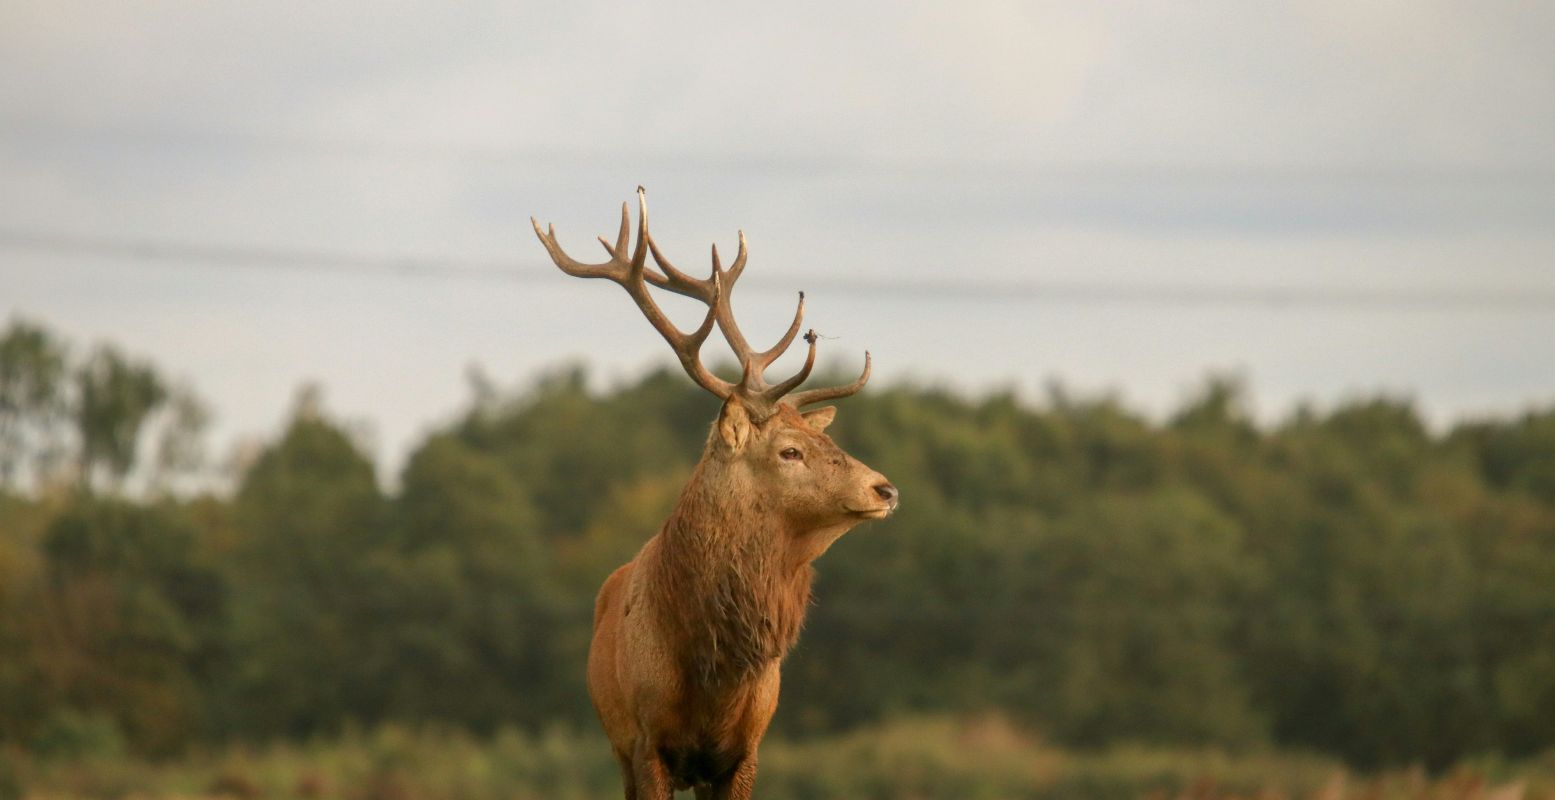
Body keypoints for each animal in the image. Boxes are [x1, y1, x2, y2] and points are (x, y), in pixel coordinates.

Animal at [534, 188, 901, 796]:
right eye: (789, 451)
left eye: (822, 439)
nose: (886, 488)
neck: (713, 673)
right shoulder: (646, 741)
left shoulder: (745, 749)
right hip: (617, 743)